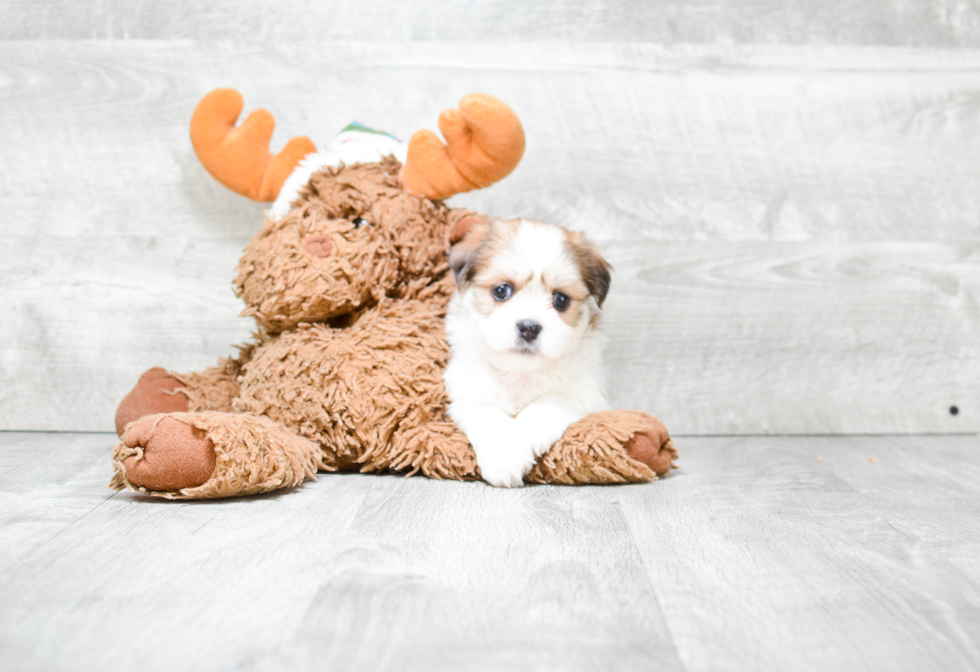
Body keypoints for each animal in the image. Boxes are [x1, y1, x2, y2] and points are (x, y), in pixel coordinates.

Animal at [446, 218, 612, 486]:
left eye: (561, 300)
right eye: (501, 291)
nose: (529, 328)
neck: (520, 373)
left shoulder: (588, 393)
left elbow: (551, 401)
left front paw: (525, 430)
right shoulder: (468, 396)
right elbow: (488, 415)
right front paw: (505, 455)